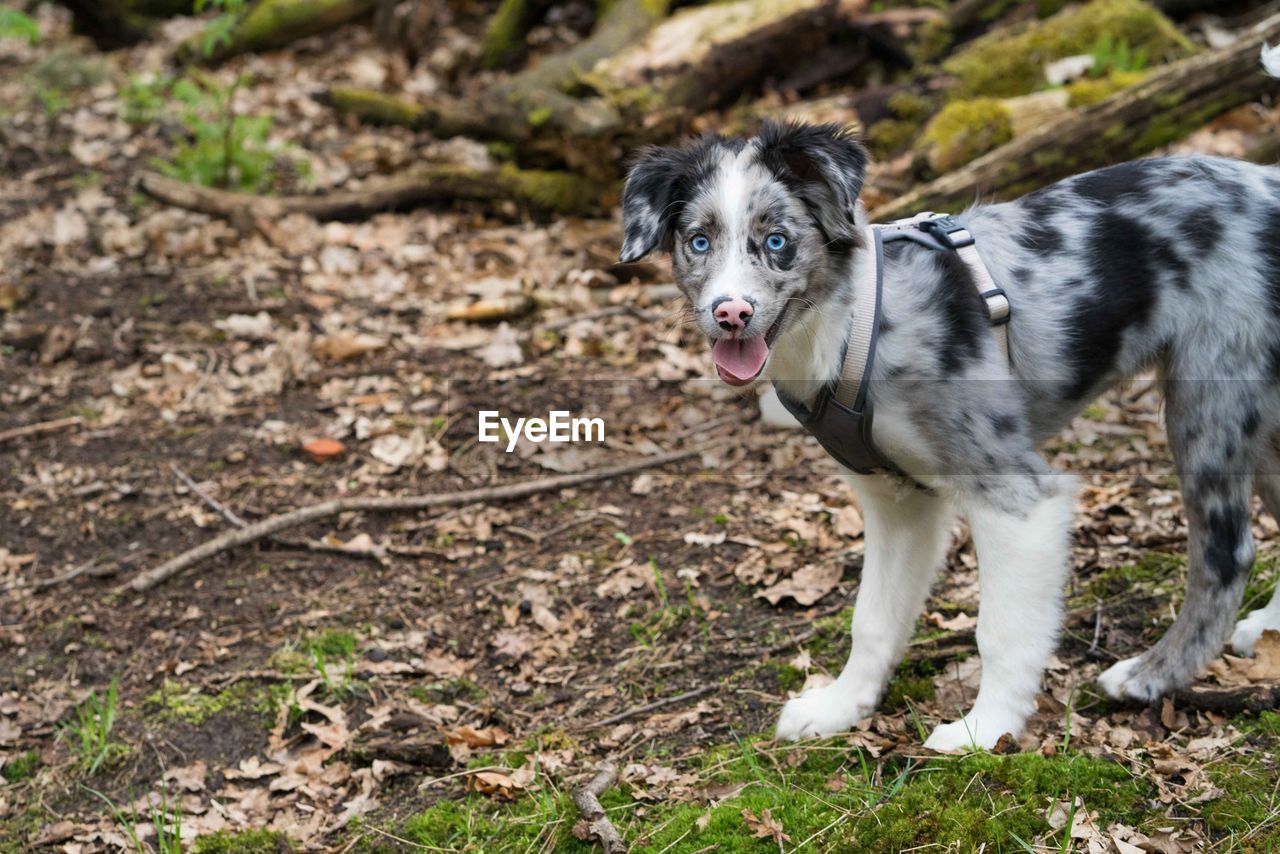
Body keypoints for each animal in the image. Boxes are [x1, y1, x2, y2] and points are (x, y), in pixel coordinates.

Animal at [619, 120, 1280, 747]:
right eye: (699, 242)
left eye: (777, 241)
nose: (731, 314)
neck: (853, 326)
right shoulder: (897, 502)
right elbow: (873, 618)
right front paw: (841, 707)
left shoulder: (1016, 493)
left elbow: (1000, 630)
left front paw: (986, 732)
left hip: (1209, 402)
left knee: (1226, 555)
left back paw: (1152, 676)